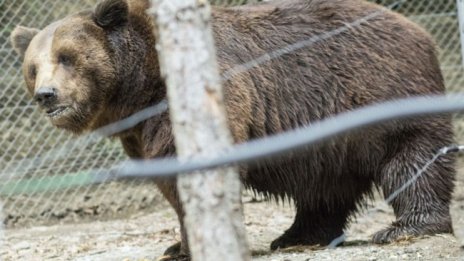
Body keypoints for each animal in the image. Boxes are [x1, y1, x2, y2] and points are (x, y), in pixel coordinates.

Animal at [10, 0, 456, 256]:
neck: (140, 87)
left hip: (381, 91)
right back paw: (298, 235)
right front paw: (178, 244)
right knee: (323, 183)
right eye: (33, 67)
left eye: (67, 57)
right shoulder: (139, 132)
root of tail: (417, 30)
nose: (47, 94)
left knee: (413, 157)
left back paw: (407, 226)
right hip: (328, 131)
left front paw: (189, 242)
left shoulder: (197, 98)